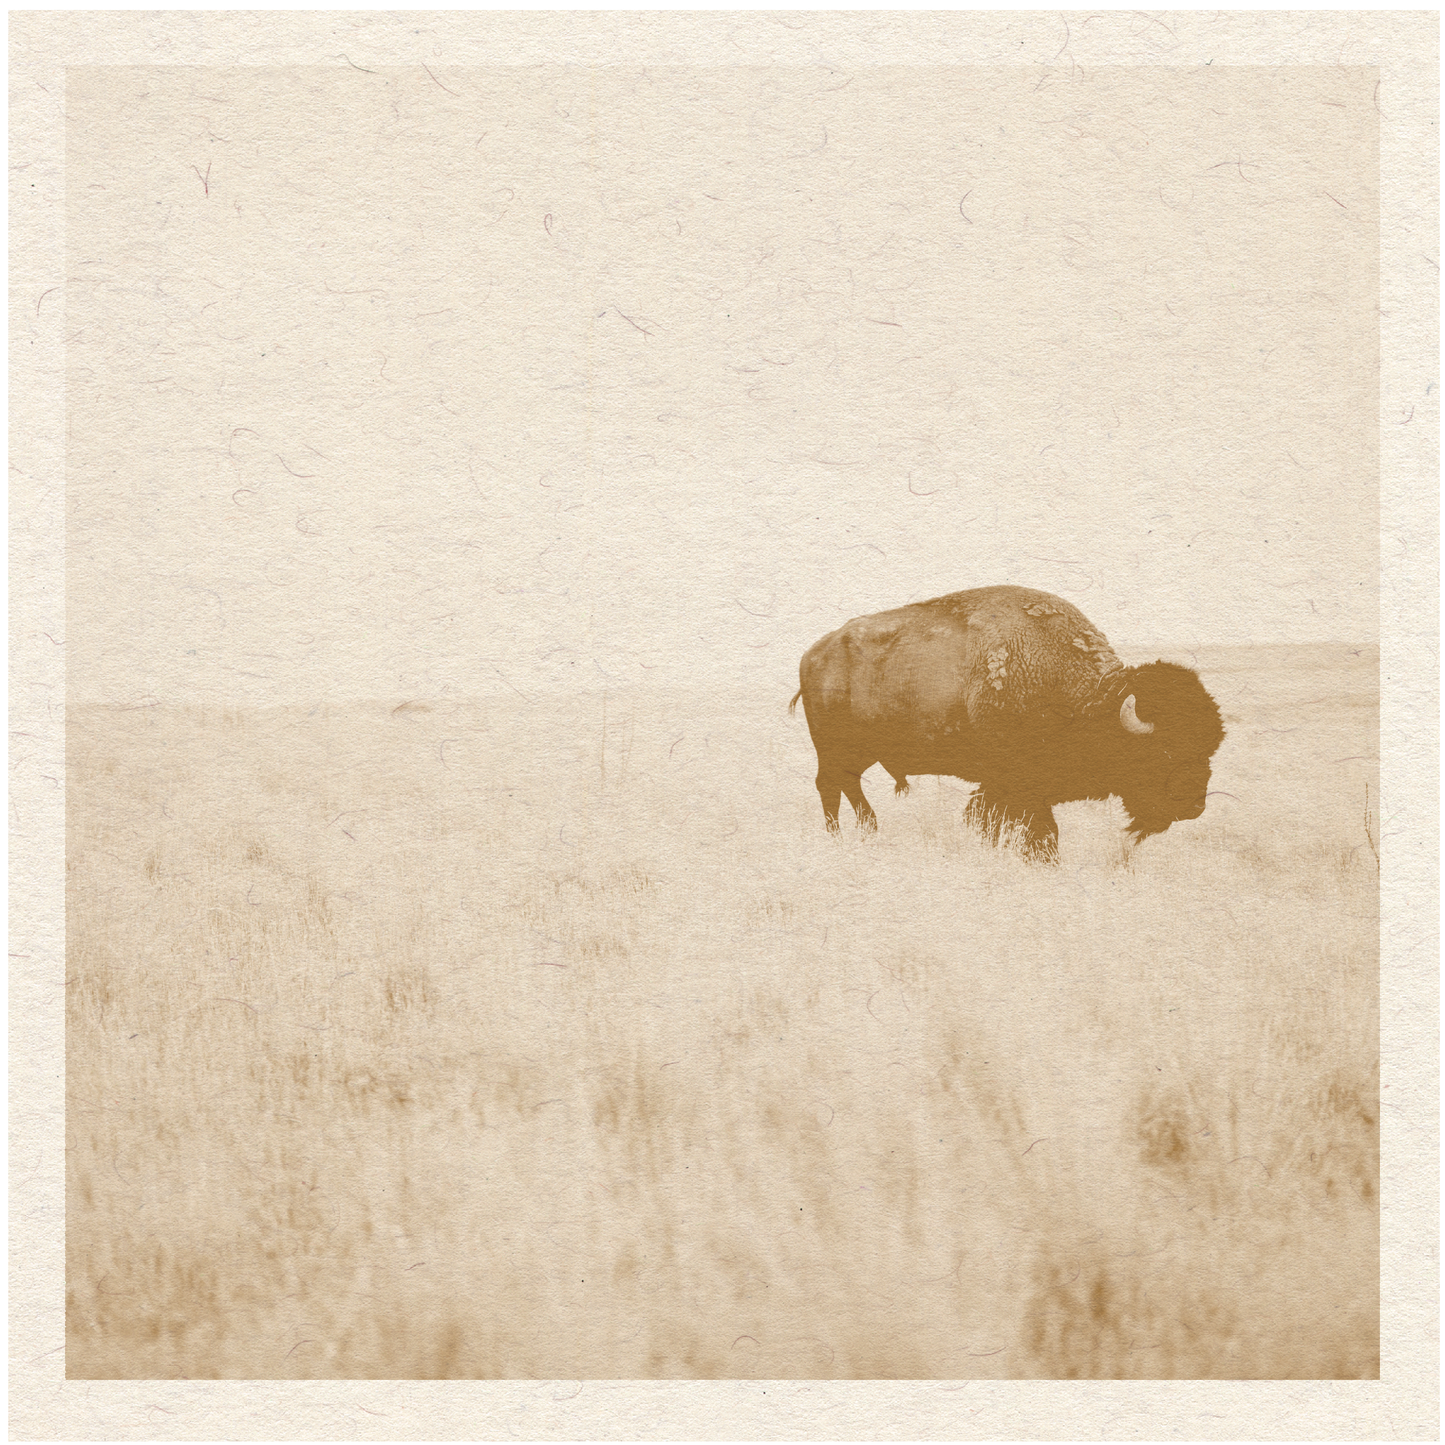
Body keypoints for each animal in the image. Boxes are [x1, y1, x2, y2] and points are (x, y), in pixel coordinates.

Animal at [789, 585, 1225, 861]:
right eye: (1163, 748)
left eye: (1210, 746)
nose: (1194, 806)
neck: (1087, 698)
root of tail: (813, 655)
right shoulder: (1015, 785)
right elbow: (1040, 832)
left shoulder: (1008, 788)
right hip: (833, 748)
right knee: (829, 787)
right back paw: (838, 837)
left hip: (861, 752)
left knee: (849, 787)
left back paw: (869, 830)